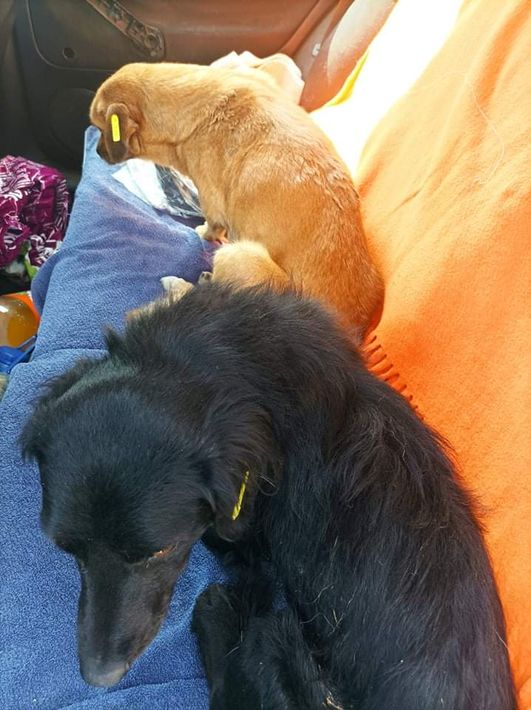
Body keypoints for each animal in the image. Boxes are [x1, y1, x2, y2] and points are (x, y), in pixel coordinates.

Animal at [22, 283, 514, 707]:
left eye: (160, 551)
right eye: (67, 550)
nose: (98, 676)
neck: (223, 360)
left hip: (279, 643)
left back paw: (217, 615)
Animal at [89, 62, 383, 337]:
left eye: (102, 129)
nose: (98, 152)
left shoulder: (211, 203)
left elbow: (210, 226)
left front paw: (201, 232)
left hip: (236, 254)